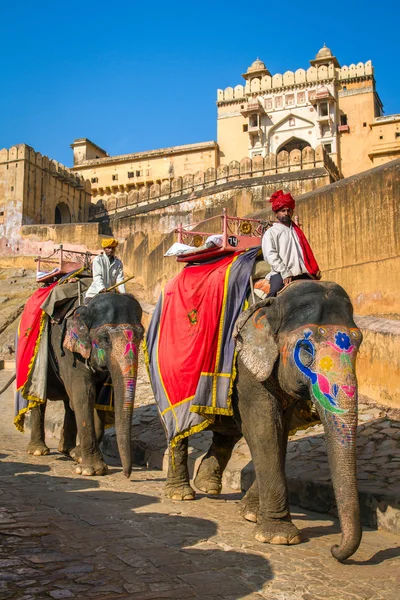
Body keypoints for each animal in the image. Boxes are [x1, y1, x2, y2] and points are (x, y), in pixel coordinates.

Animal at [10, 292, 144, 478]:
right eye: (105, 339)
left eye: (141, 336)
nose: (127, 475)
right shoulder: (69, 352)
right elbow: (84, 394)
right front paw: (90, 470)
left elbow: (99, 400)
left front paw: (79, 457)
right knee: (40, 398)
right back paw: (38, 451)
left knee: (69, 403)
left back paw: (67, 450)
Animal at [164, 282, 364, 564]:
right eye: (306, 349)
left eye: (359, 344)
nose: (335, 550)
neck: (275, 303)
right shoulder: (246, 365)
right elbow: (264, 428)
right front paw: (279, 537)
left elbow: (280, 432)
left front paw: (251, 514)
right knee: (177, 429)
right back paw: (181, 494)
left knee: (226, 432)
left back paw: (208, 485)